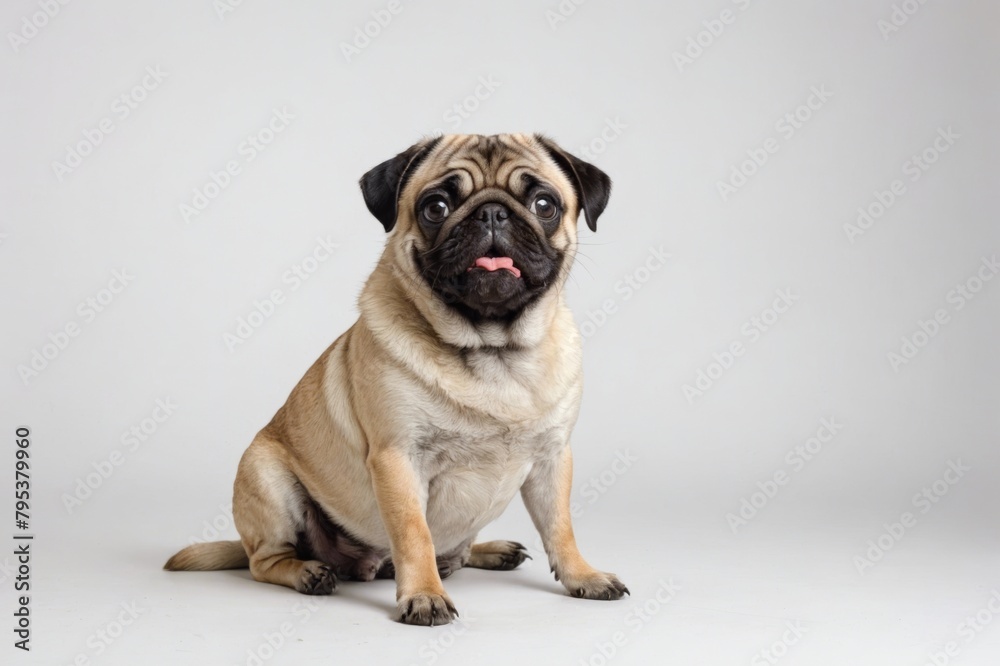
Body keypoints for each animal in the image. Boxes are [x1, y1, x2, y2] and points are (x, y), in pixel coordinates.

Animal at [167, 134, 628, 624]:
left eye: (544, 204)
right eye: (436, 208)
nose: (492, 213)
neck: (492, 349)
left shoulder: (552, 459)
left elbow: (560, 527)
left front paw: (583, 576)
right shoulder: (398, 459)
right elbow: (413, 533)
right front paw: (424, 594)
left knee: (458, 551)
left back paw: (490, 550)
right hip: (266, 477)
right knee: (265, 561)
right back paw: (308, 572)